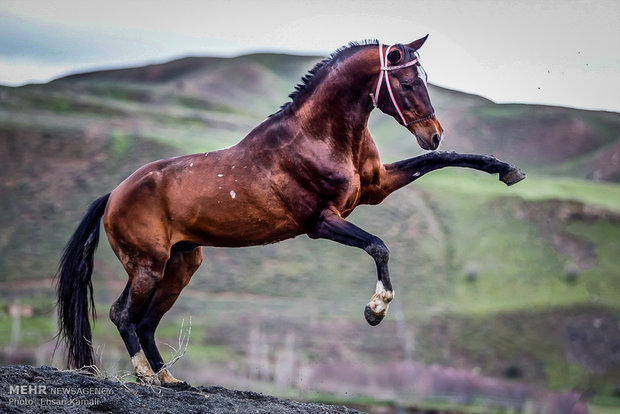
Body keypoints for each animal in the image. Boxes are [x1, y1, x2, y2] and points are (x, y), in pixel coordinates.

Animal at [57, 37, 524, 384]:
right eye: (407, 83)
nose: (433, 133)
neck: (321, 137)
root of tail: (114, 194)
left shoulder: (377, 187)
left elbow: (442, 162)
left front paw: (505, 169)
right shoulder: (322, 221)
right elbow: (379, 246)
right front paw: (375, 310)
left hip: (180, 265)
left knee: (148, 322)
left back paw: (170, 379)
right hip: (148, 265)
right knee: (124, 315)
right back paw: (145, 376)